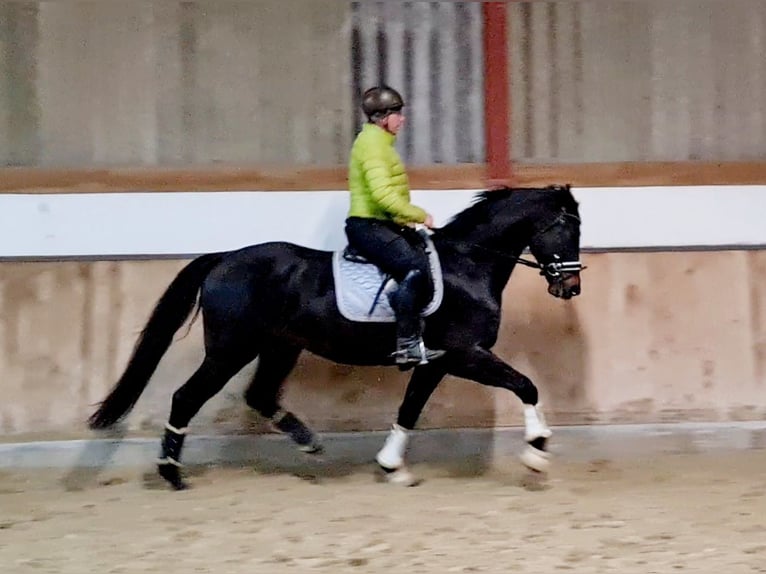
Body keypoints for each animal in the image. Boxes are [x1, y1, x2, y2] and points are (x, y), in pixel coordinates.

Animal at [87, 184, 584, 490]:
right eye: (568, 226)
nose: (570, 287)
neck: (469, 264)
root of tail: (224, 258)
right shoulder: (465, 354)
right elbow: (525, 385)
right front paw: (537, 452)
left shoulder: (437, 361)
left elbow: (409, 410)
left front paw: (392, 467)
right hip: (231, 349)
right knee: (186, 397)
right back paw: (172, 474)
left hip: (280, 346)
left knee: (260, 394)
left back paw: (308, 442)